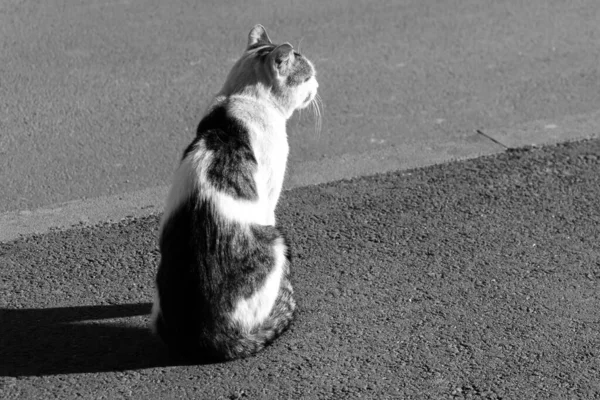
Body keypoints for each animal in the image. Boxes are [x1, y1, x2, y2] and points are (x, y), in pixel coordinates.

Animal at [150, 25, 318, 362]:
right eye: (308, 76)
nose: (318, 85)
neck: (237, 98)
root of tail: (207, 336)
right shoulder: (269, 195)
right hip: (274, 241)